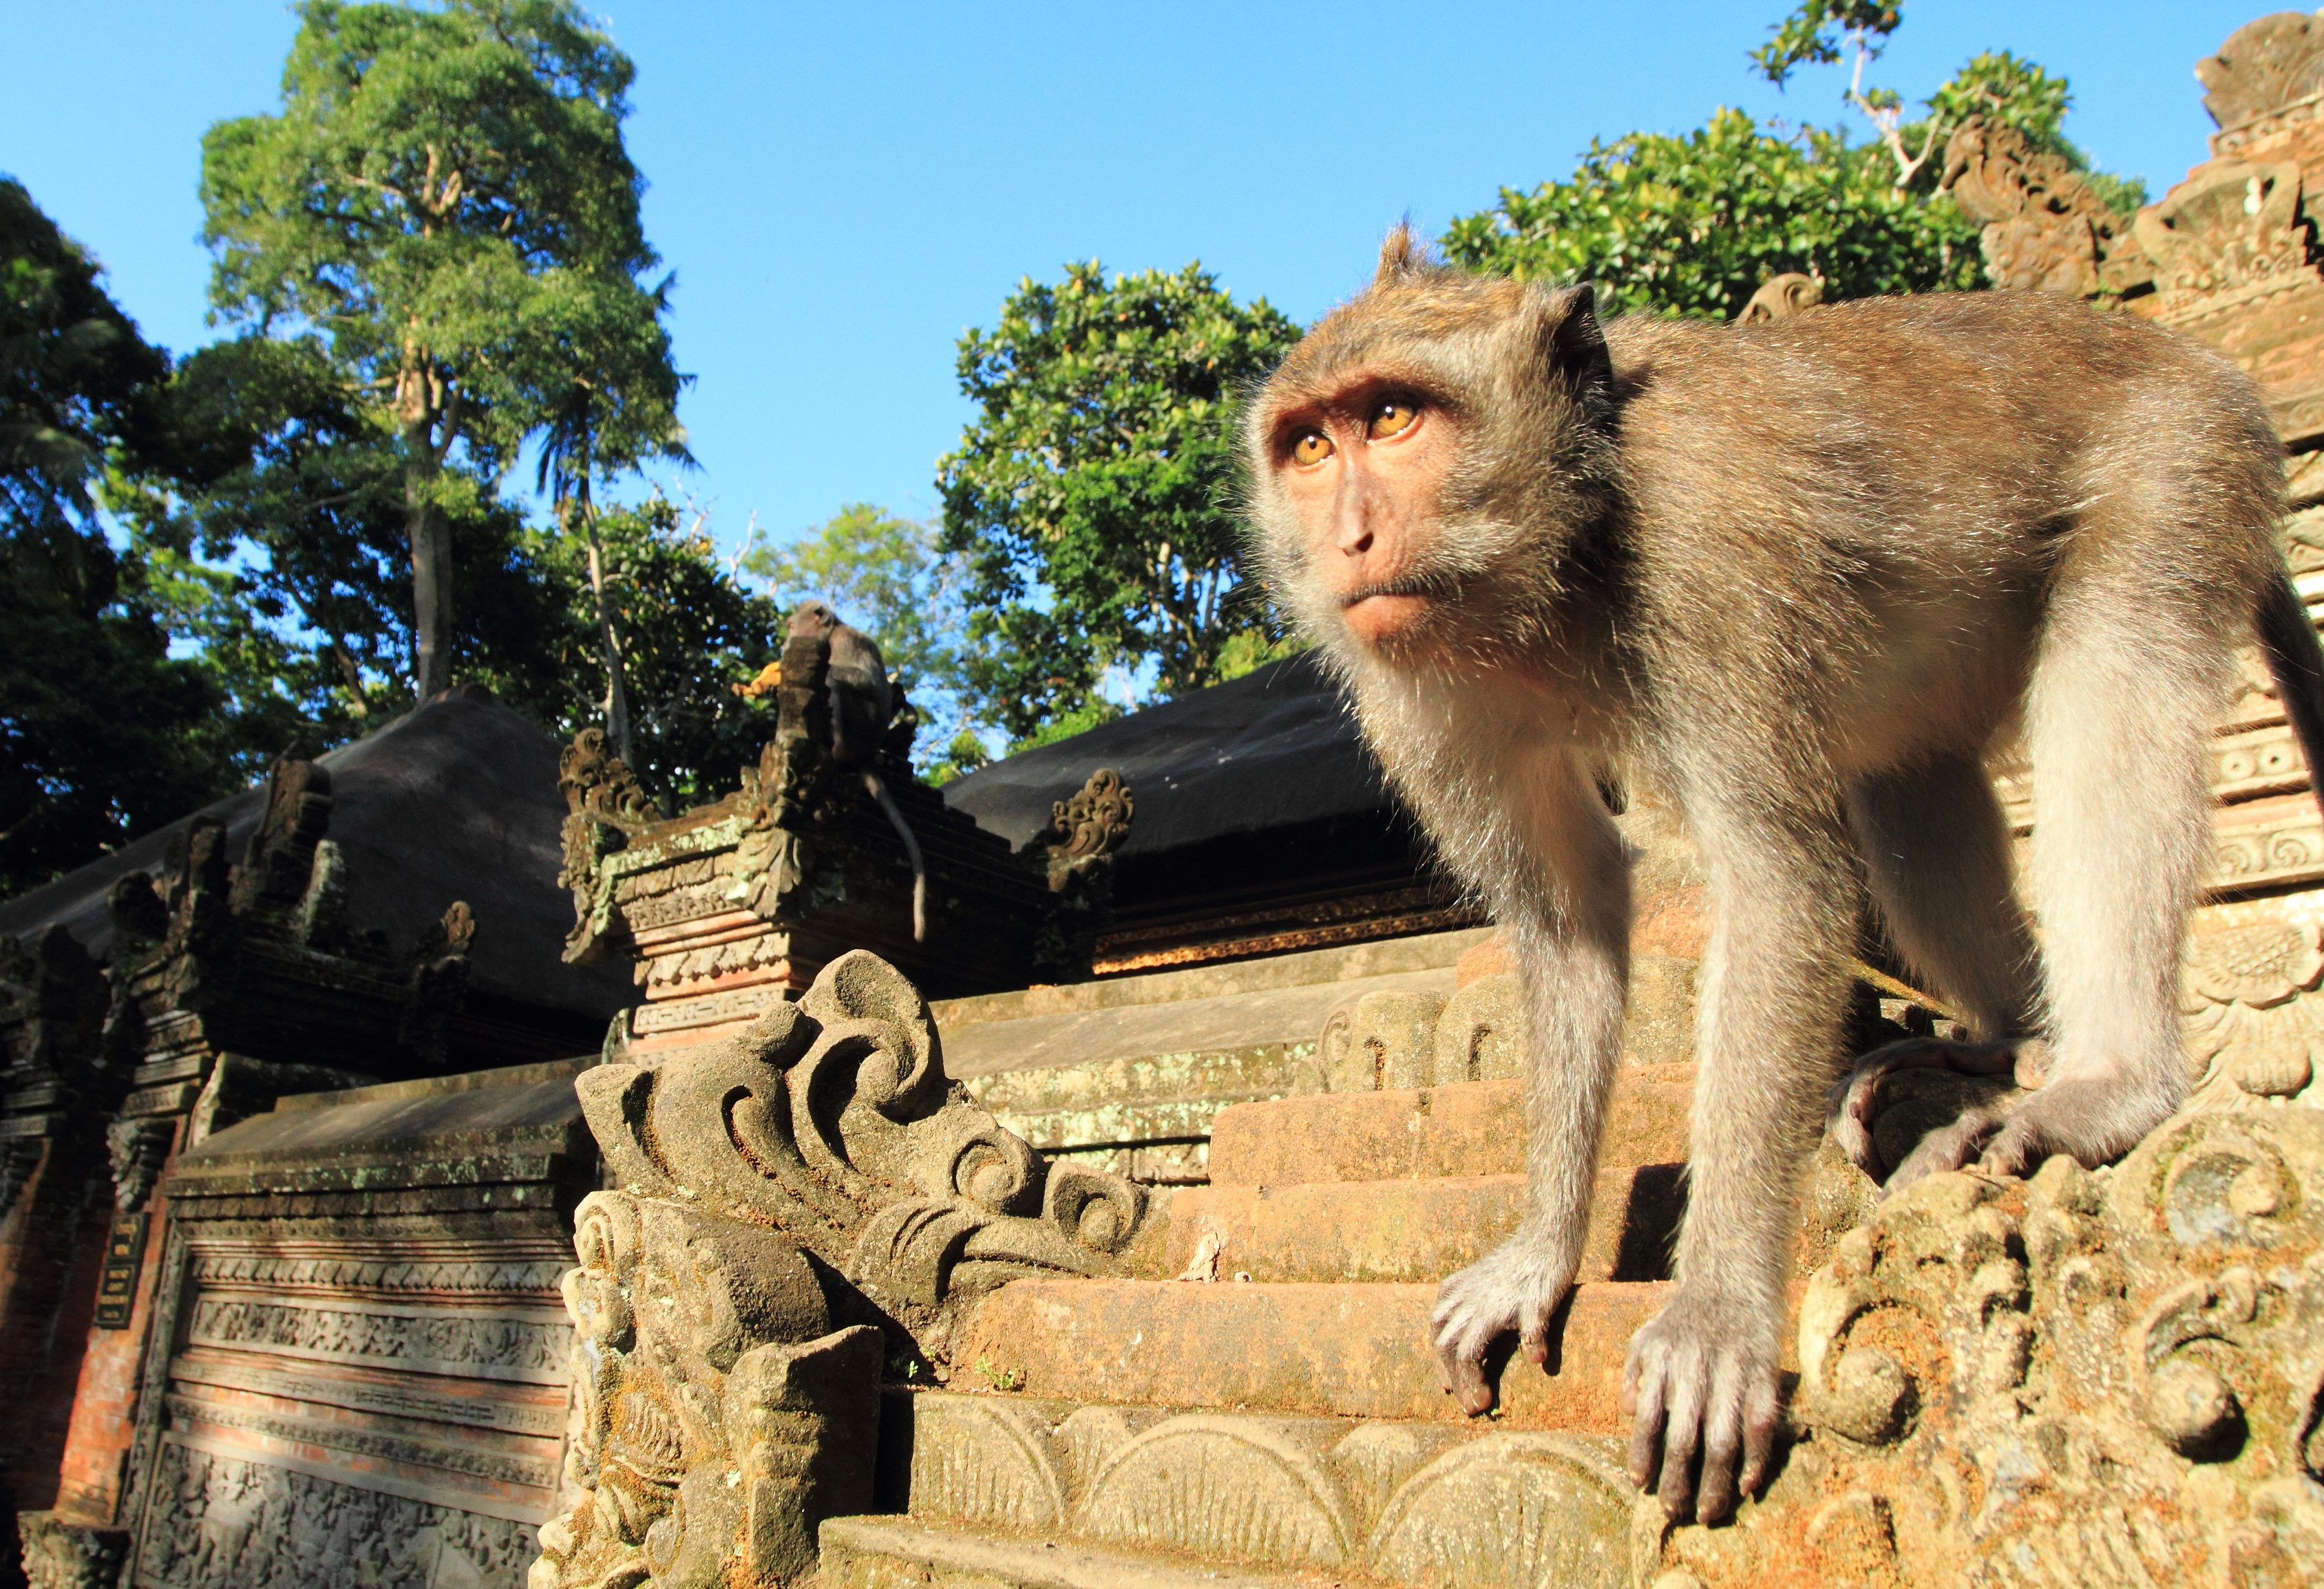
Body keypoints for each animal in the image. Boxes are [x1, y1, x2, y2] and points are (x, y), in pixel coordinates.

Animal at [787, 601, 927, 941]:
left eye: (791, 626)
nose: (786, 641)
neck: (831, 633)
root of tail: (865, 755)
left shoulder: (847, 642)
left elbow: (862, 680)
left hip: (854, 734)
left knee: (837, 688)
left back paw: (833, 756)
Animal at [1244, 226, 2324, 1525]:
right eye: (1311, 446)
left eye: (1395, 418)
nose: (1347, 540)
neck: (1565, 549)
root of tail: (2194, 360)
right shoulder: (1412, 675)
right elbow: (1567, 918)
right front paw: (1543, 1249)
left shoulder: (1710, 537)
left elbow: (1774, 880)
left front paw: (1718, 1314)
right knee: (1907, 777)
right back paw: (2001, 1037)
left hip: (2181, 463)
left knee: (2113, 685)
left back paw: (2110, 1078)